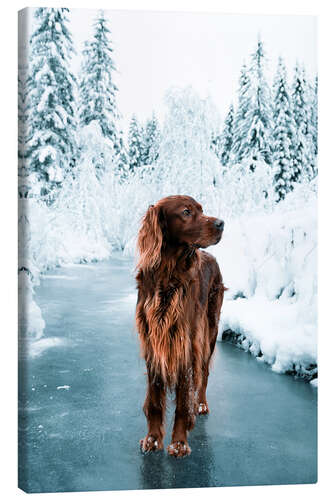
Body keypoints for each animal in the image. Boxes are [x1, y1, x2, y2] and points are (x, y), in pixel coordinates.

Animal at [134, 195, 223, 458]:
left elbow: (183, 400)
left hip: (209, 331)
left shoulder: (186, 344)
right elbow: (155, 400)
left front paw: (179, 443)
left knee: (203, 373)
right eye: (186, 212)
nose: (221, 223)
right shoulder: (154, 344)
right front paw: (153, 439)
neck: (169, 273)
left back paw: (200, 403)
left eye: (202, 210)